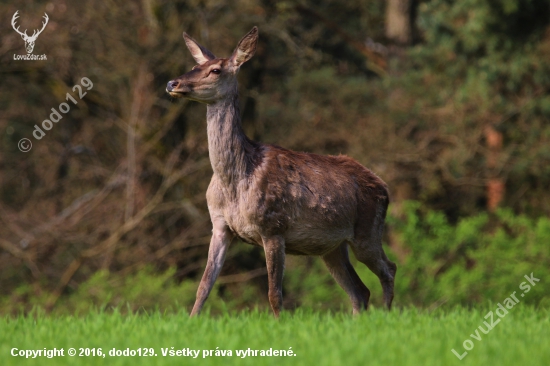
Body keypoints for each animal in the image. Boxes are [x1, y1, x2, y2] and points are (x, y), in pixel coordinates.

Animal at [166, 26, 398, 318]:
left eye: (216, 70)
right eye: (195, 65)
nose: (172, 83)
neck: (235, 182)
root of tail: (383, 186)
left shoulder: (273, 226)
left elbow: (274, 294)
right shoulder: (219, 225)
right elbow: (203, 287)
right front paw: (191, 320)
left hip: (368, 230)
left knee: (389, 269)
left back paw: (389, 316)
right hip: (332, 247)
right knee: (360, 291)